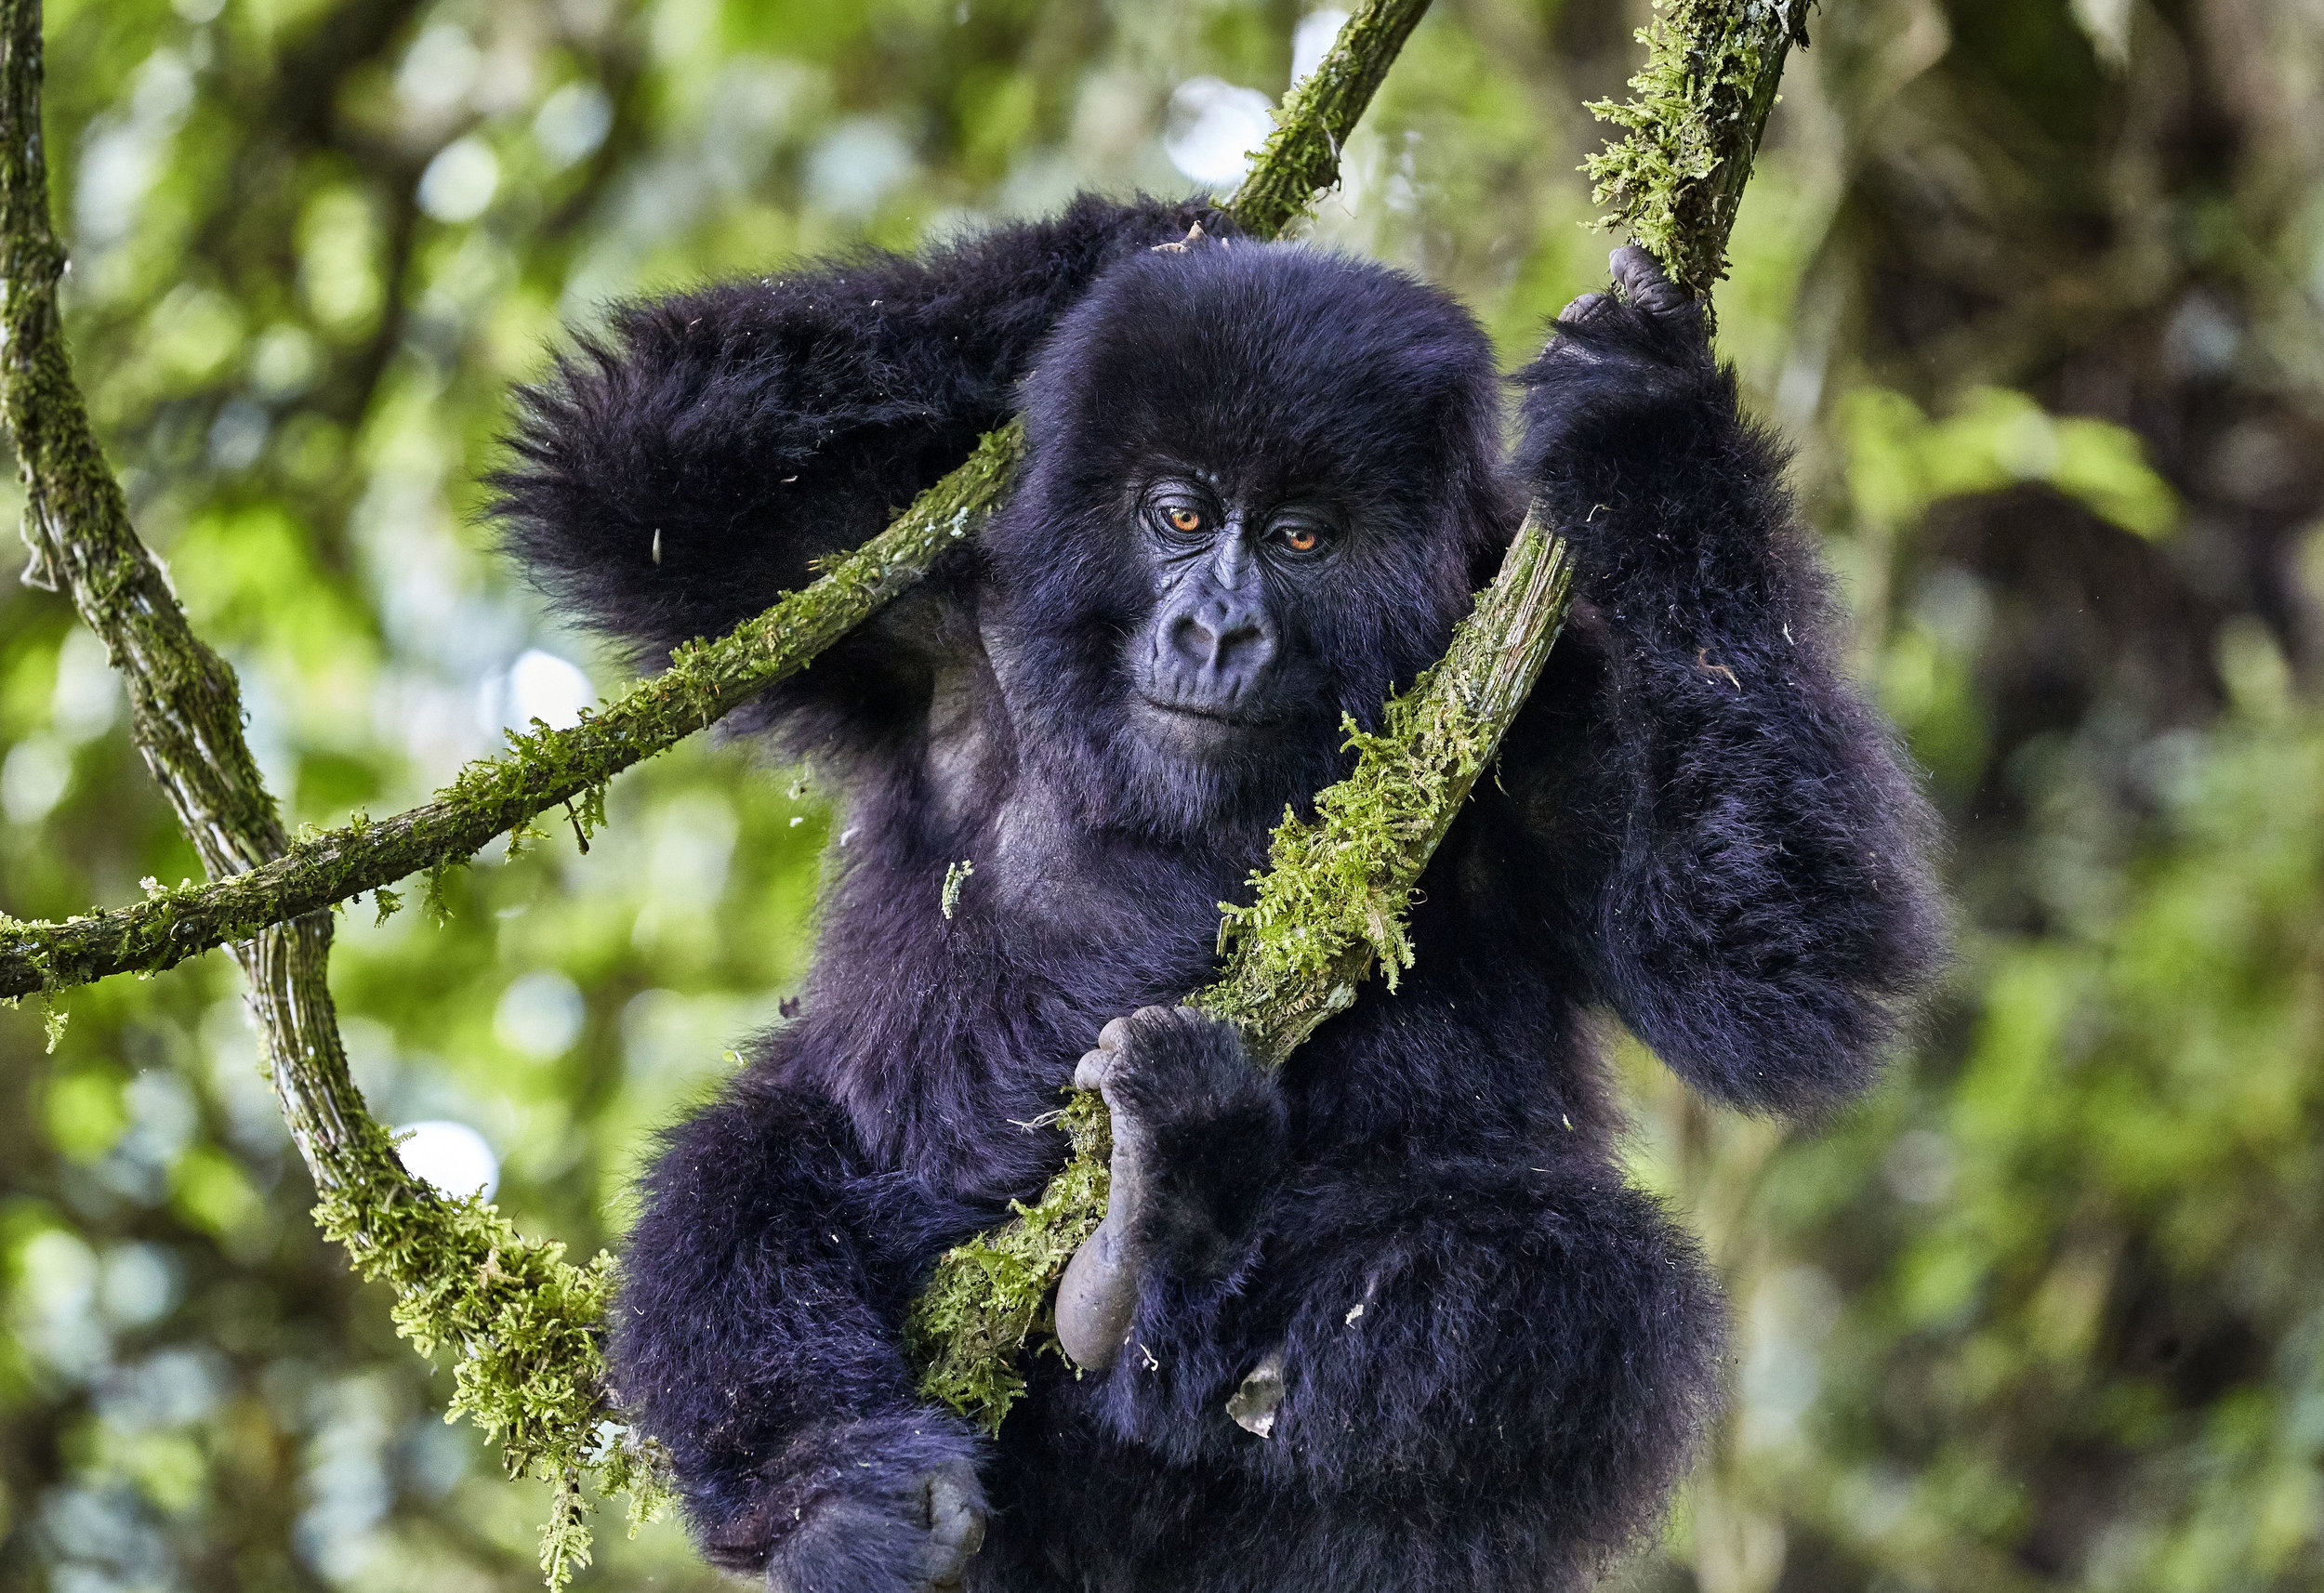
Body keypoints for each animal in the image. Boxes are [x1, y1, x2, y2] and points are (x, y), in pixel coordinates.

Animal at [490, 190, 1943, 1593]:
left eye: (1300, 537)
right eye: (1180, 515)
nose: (1214, 629)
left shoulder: (1547, 700)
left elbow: (1767, 962)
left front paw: (1648, 428)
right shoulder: (928, 620)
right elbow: (636, 466)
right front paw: (1164, 234)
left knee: (1586, 1301)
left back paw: (1160, 1257)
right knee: (747, 1158)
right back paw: (841, 1489)